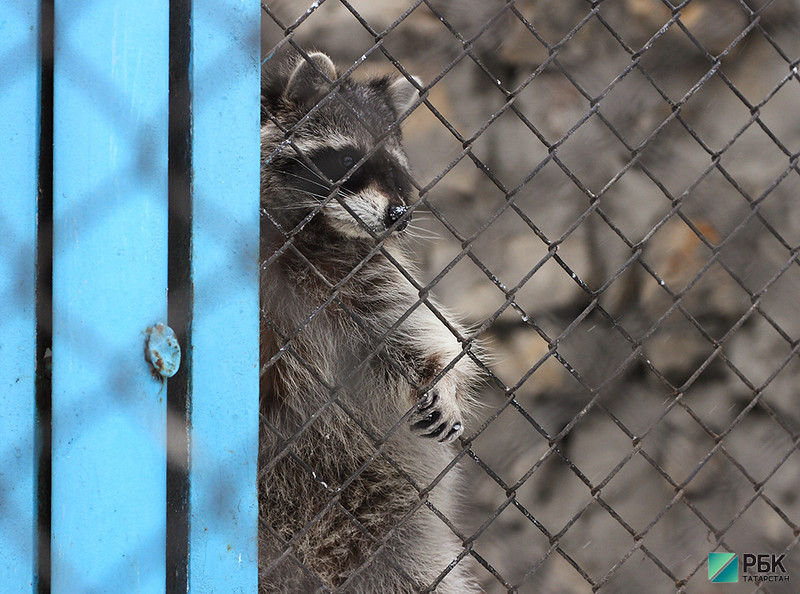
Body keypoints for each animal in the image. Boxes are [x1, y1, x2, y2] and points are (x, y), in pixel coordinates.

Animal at [260, 53, 482, 588]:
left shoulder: (364, 278)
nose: (399, 214)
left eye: (397, 171)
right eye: (348, 160)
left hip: (391, 533)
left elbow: (413, 334)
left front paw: (442, 378)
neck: (315, 234)